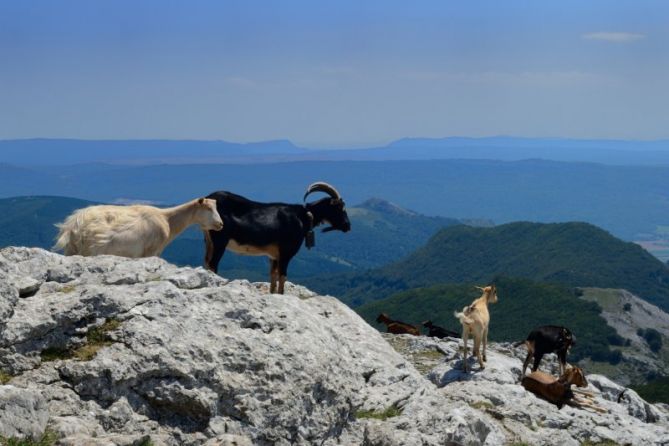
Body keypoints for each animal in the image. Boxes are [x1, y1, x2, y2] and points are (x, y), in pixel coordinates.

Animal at [52, 199, 224, 258]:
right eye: (208, 208)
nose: (221, 224)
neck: (167, 220)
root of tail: (73, 223)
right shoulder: (150, 252)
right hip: (89, 249)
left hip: (73, 251)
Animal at [202, 183, 350, 294]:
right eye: (340, 207)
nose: (347, 226)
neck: (303, 216)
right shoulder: (286, 252)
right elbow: (282, 276)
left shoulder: (273, 255)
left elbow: (273, 276)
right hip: (220, 240)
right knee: (213, 264)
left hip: (209, 241)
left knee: (207, 263)